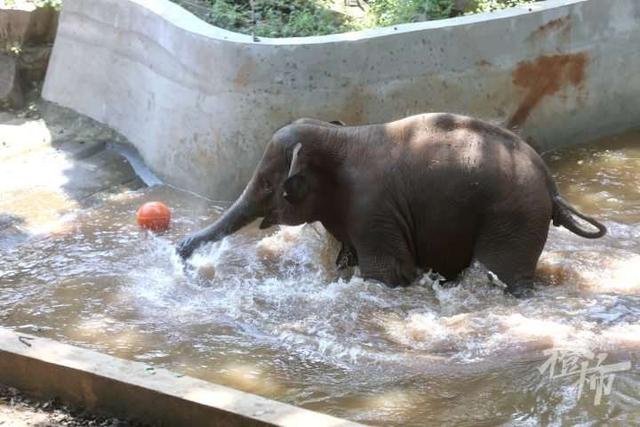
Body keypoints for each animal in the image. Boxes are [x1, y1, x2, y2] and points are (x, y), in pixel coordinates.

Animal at [178, 113, 608, 298]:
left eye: (268, 184)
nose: (181, 249)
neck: (339, 136)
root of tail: (551, 186)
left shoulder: (372, 209)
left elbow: (387, 274)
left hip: (513, 218)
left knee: (499, 274)